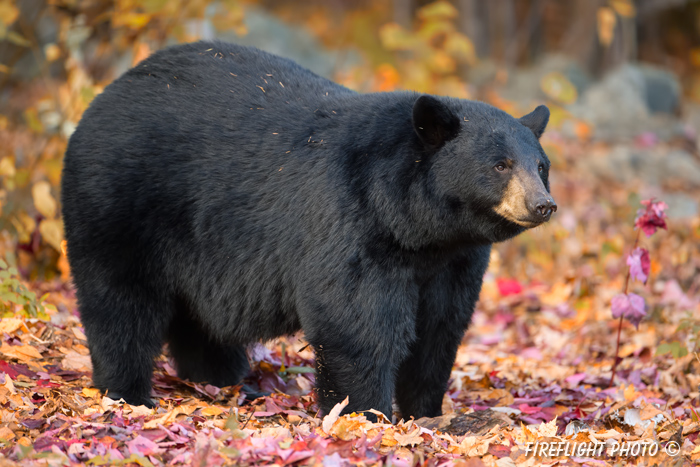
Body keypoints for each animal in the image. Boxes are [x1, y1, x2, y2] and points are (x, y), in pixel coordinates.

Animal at [60, 41, 556, 420]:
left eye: (540, 166)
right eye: (500, 164)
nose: (543, 204)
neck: (417, 227)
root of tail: (104, 97)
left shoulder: (454, 259)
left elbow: (439, 329)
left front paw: (425, 412)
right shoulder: (352, 221)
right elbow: (356, 323)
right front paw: (365, 413)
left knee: (195, 316)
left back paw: (219, 376)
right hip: (120, 202)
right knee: (120, 302)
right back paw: (127, 391)